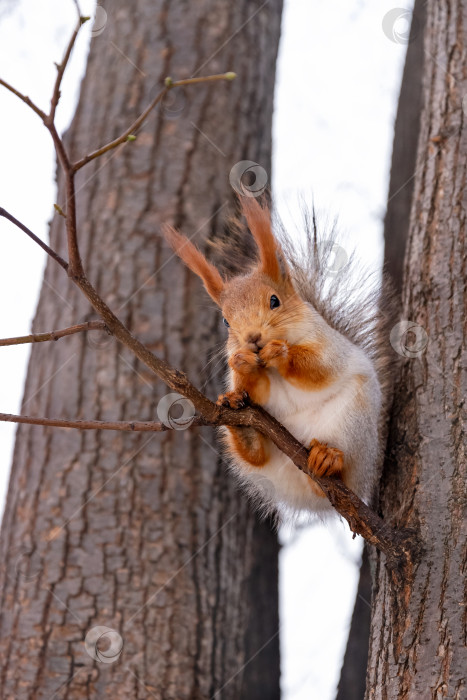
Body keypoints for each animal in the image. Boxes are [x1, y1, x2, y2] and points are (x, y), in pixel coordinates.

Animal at [164, 197, 394, 520]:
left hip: (353, 424)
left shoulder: (329, 345)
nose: (252, 338)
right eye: (225, 321)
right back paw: (242, 427)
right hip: (264, 457)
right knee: (255, 456)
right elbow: (256, 390)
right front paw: (242, 366)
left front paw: (280, 352)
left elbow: (320, 368)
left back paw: (328, 458)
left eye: (275, 301)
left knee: (342, 471)